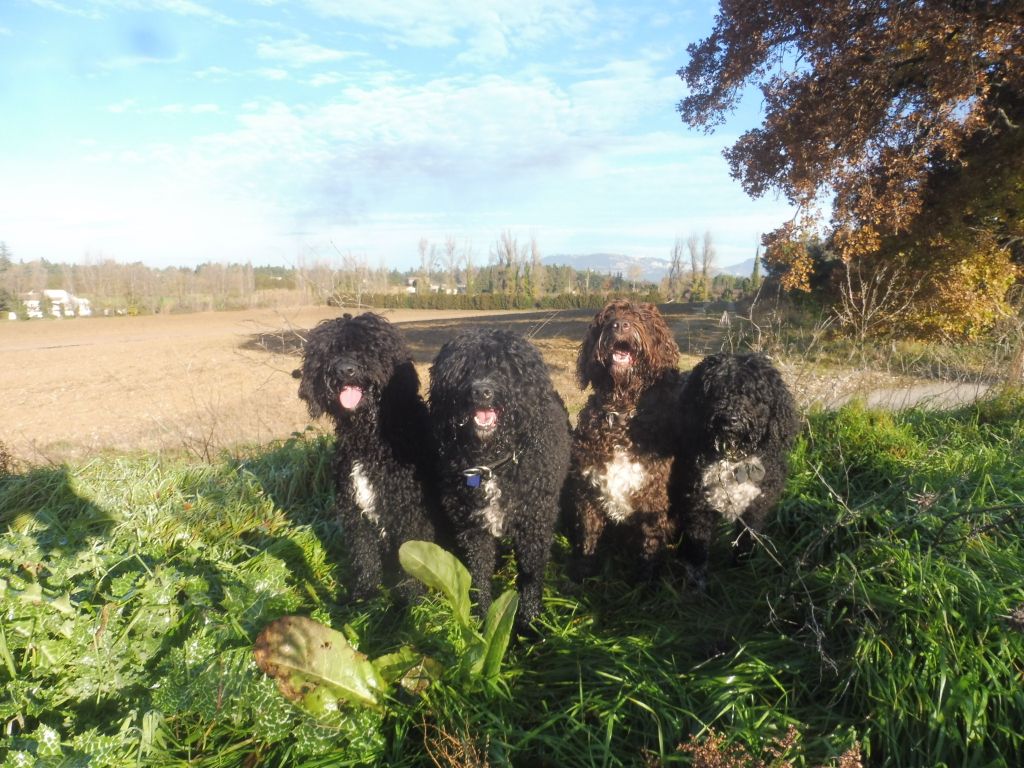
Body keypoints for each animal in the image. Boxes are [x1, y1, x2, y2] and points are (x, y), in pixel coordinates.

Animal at [294, 313, 442, 602]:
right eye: (331, 350)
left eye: (369, 348)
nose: (345, 369)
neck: (369, 440)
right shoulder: (353, 511)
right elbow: (364, 556)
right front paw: (365, 594)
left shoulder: (410, 512)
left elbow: (411, 559)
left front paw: (411, 600)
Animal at [428, 327, 573, 634]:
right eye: (464, 369)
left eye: (505, 368)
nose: (481, 391)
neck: (492, 463)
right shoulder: (473, 530)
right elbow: (478, 578)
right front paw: (484, 622)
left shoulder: (533, 527)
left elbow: (531, 579)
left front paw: (530, 625)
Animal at [671, 352, 798, 593]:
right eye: (712, 392)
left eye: (752, 394)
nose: (729, 419)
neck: (732, 457)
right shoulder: (697, 505)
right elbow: (697, 548)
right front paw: (695, 584)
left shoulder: (756, 506)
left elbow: (746, 541)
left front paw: (742, 571)